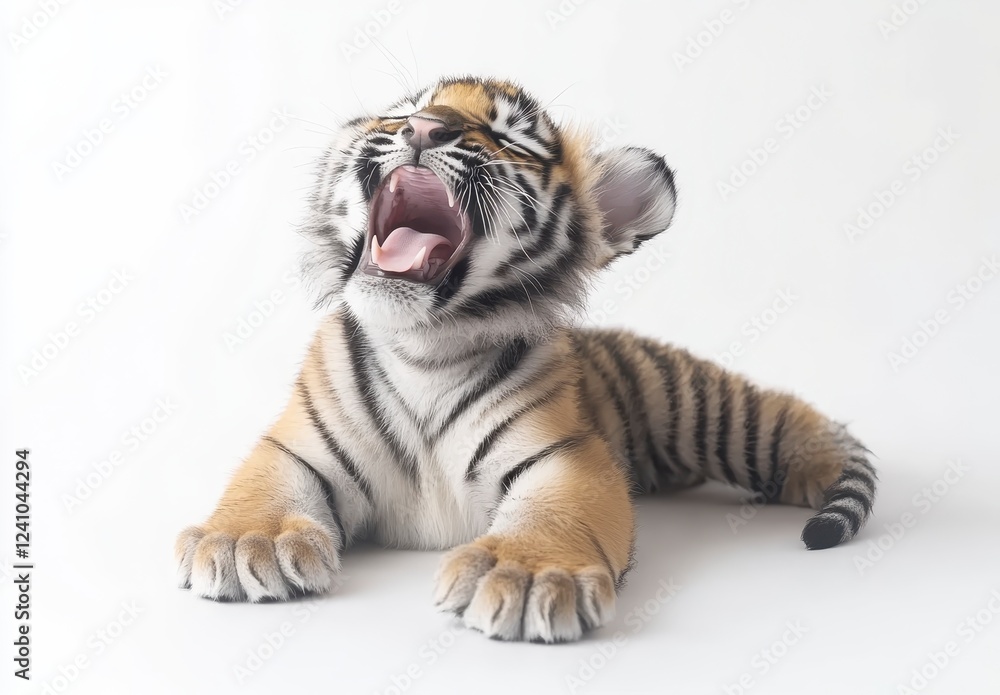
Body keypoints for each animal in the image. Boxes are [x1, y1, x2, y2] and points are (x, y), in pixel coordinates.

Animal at [175, 76, 877, 643]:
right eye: (405, 108)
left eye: (509, 135)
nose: (424, 128)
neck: (424, 346)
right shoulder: (298, 444)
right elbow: (262, 485)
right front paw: (245, 543)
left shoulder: (565, 456)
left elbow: (557, 513)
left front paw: (528, 575)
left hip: (711, 415)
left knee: (787, 421)